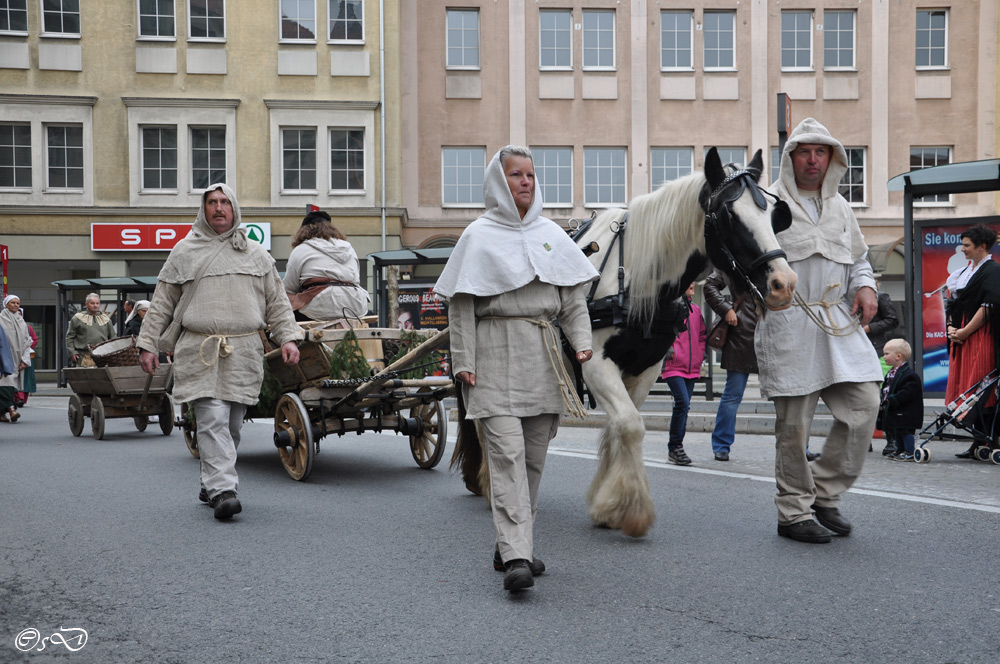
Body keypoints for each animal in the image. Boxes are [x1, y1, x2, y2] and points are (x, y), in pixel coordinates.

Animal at [454, 148, 796, 536]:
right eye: (729, 215)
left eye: (774, 215)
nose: (784, 283)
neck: (635, 279)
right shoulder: (595, 365)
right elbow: (631, 426)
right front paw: (630, 510)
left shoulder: (645, 369)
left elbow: (620, 427)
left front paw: (608, 504)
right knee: (484, 426)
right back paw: (490, 484)